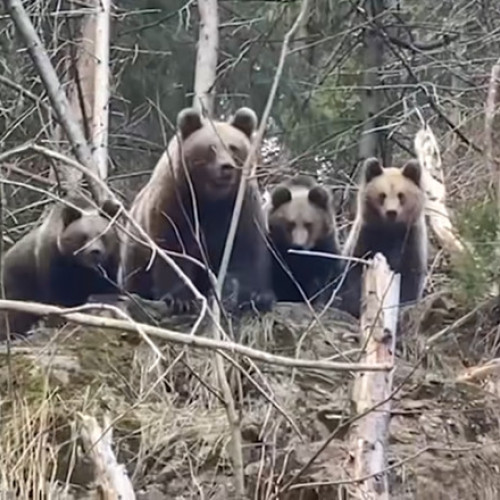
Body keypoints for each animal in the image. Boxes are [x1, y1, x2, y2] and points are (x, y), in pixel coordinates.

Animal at [0, 193, 121, 338]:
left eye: (103, 235)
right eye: (83, 236)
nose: (95, 251)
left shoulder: (109, 265)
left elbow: (108, 290)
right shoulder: (53, 264)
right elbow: (55, 300)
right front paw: (57, 320)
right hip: (17, 286)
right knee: (13, 316)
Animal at [119, 107, 276, 314]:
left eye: (233, 147)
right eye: (212, 147)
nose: (226, 167)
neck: (210, 198)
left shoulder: (241, 205)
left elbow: (247, 248)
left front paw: (257, 297)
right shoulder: (175, 202)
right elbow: (174, 248)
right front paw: (180, 299)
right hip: (135, 248)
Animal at [342, 158, 428, 318]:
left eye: (401, 195)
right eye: (382, 195)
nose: (391, 212)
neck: (390, 229)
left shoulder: (410, 239)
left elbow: (410, 277)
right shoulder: (367, 235)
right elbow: (355, 268)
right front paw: (355, 305)